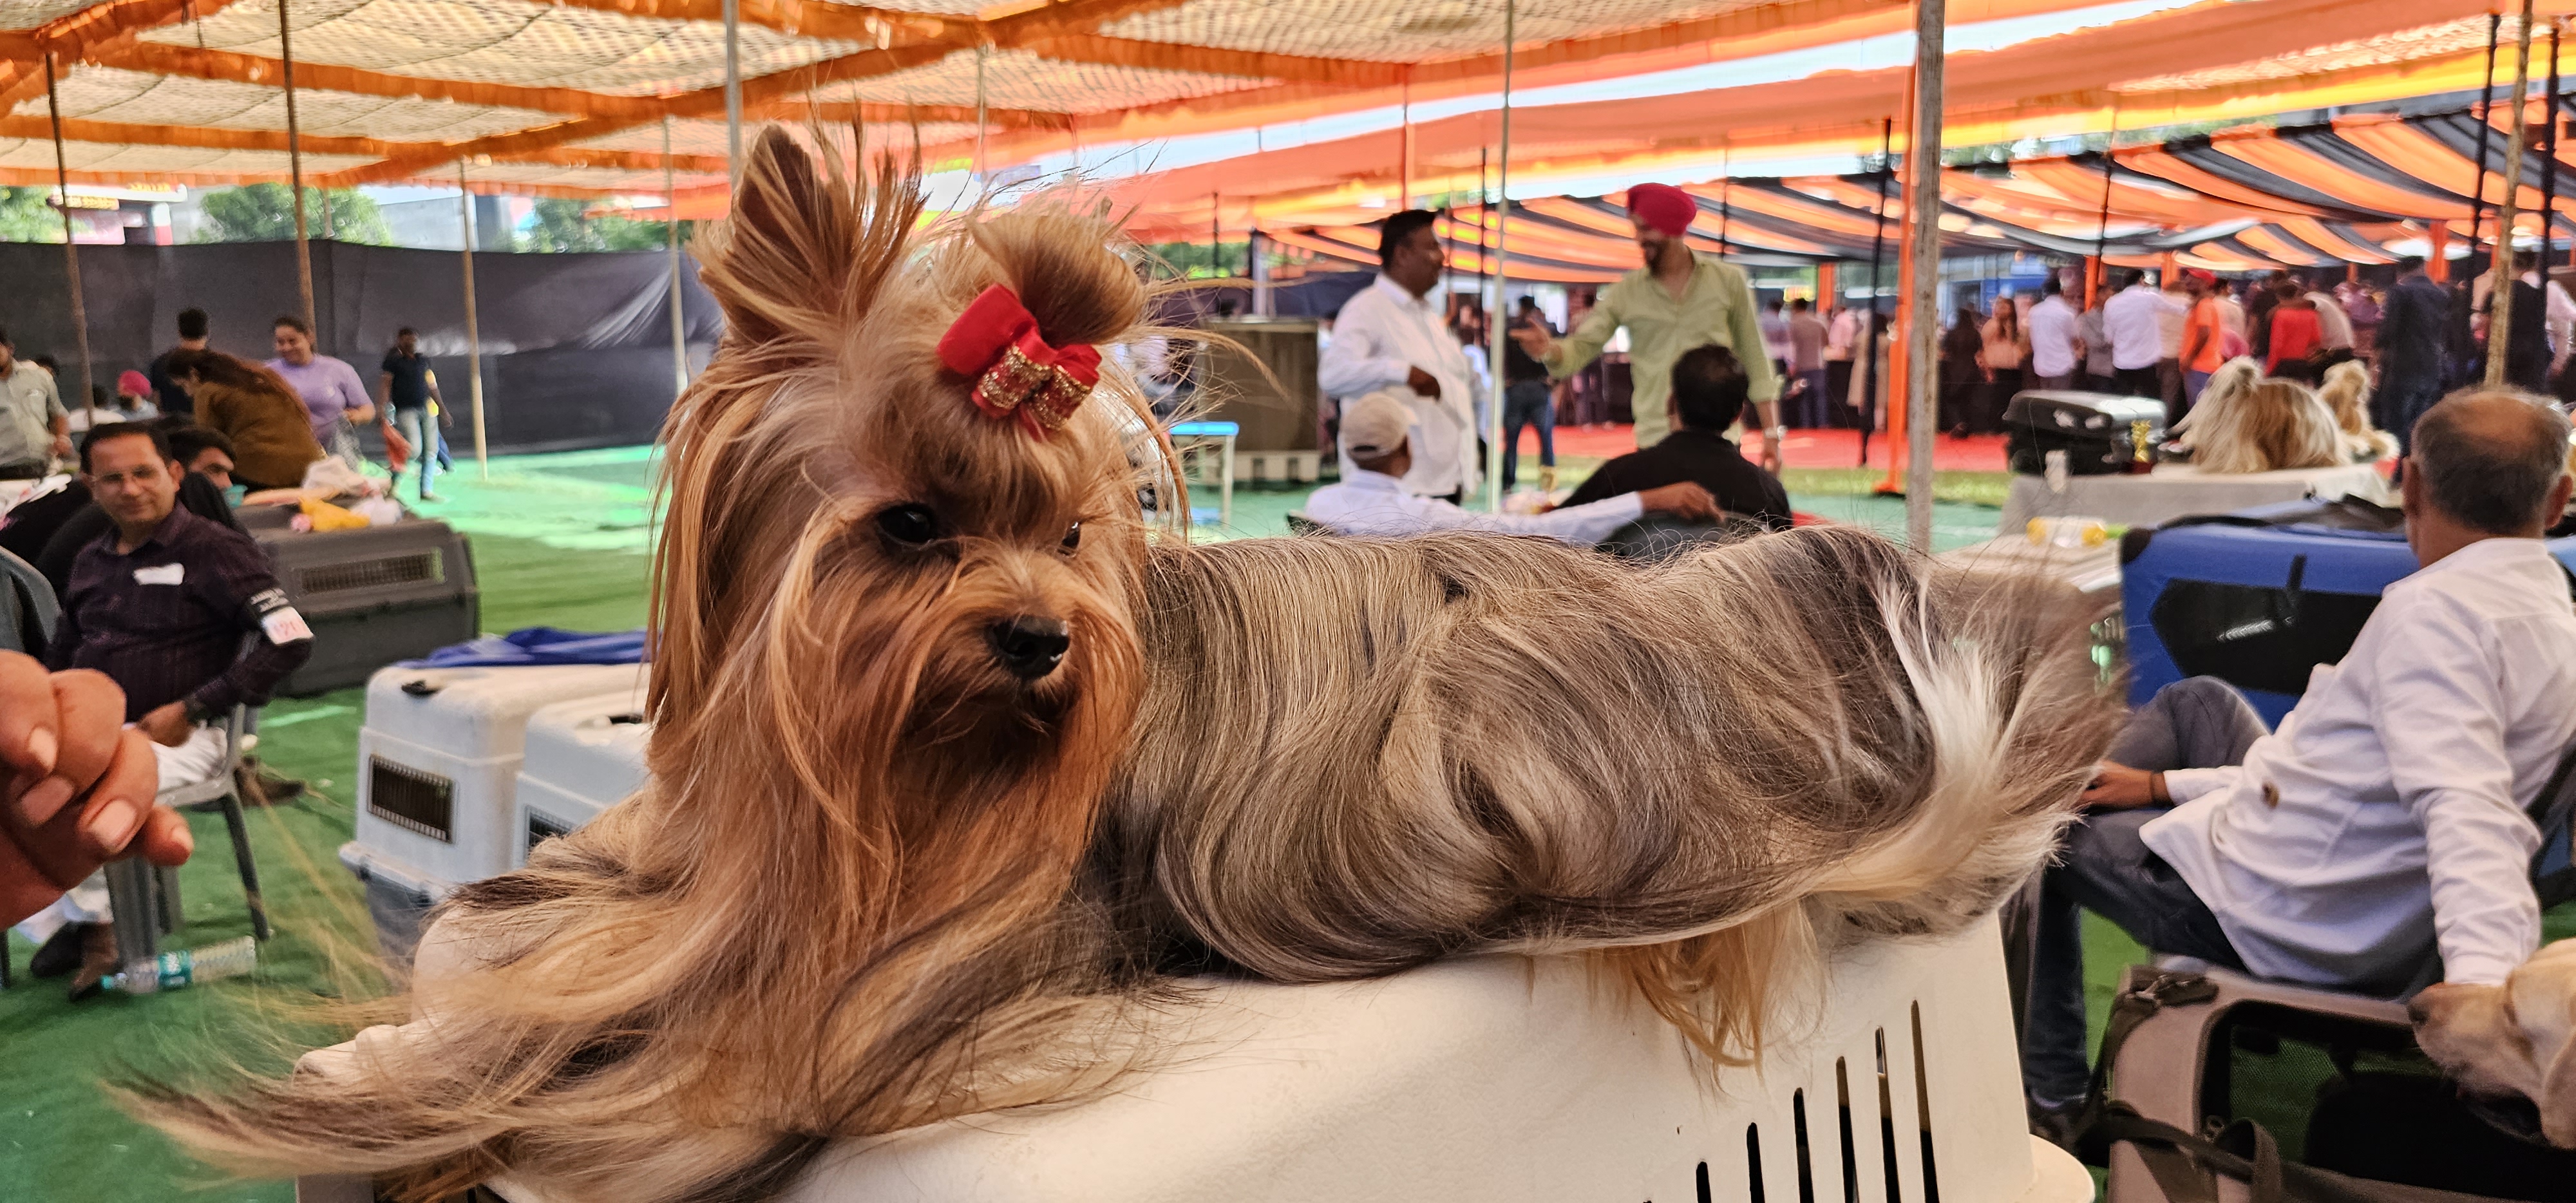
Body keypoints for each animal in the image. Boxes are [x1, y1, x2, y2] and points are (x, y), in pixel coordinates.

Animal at [131, 127, 2123, 1200]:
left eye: (1074, 536)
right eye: (911, 526)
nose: (1036, 635)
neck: (871, 798)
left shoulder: (872, 1002)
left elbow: (642, 1087)